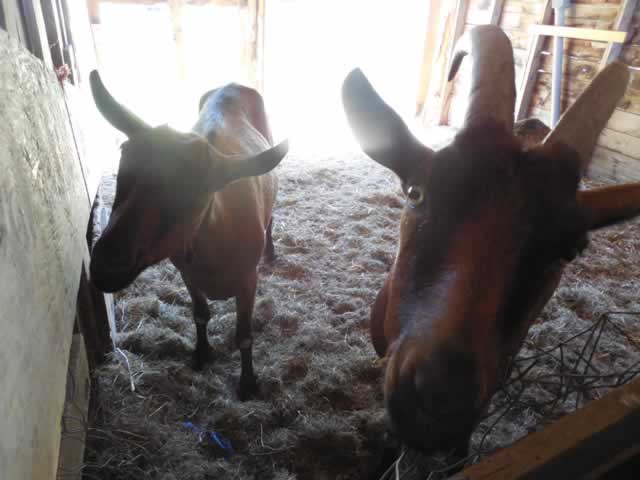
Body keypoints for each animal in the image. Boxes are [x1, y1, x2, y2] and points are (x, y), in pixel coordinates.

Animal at [87, 71, 288, 400]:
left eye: (194, 193)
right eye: (123, 167)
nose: (105, 266)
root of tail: (231, 84)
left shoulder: (248, 280)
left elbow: (244, 336)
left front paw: (247, 383)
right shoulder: (188, 273)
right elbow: (200, 315)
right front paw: (201, 354)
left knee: (270, 217)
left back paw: (271, 253)